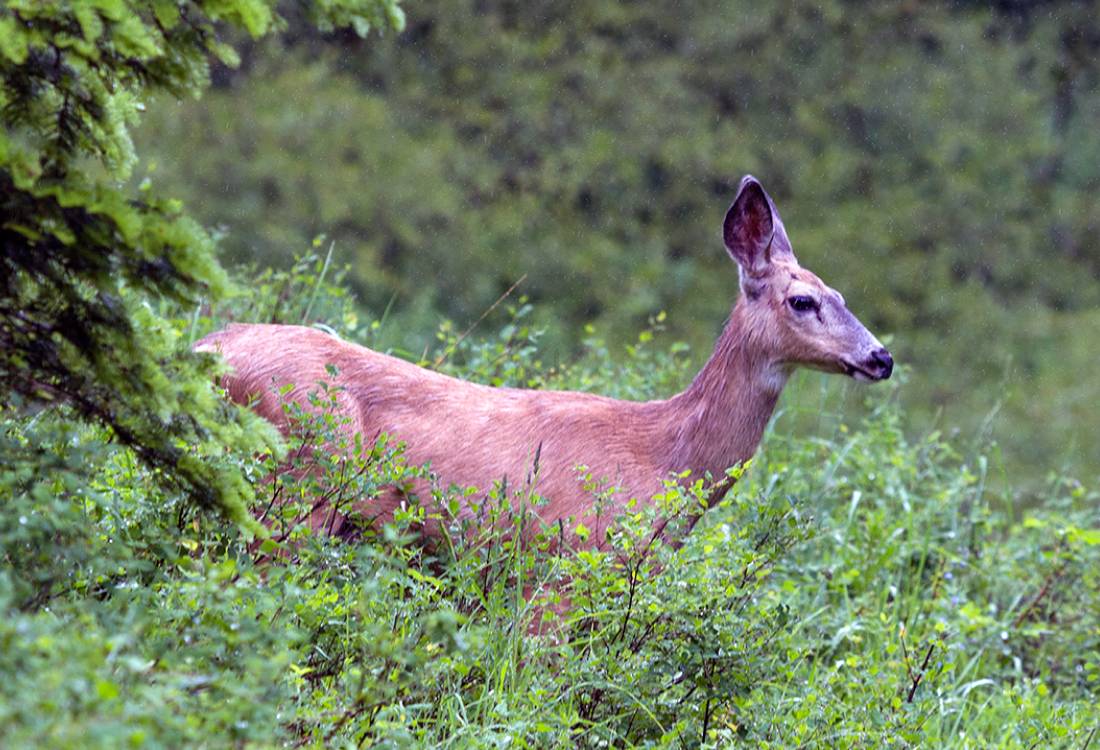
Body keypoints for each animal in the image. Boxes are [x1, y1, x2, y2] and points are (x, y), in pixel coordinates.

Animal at [198, 173, 893, 549]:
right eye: (803, 300)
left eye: (842, 294)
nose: (881, 357)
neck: (663, 456)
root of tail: (206, 349)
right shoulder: (560, 563)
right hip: (295, 486)